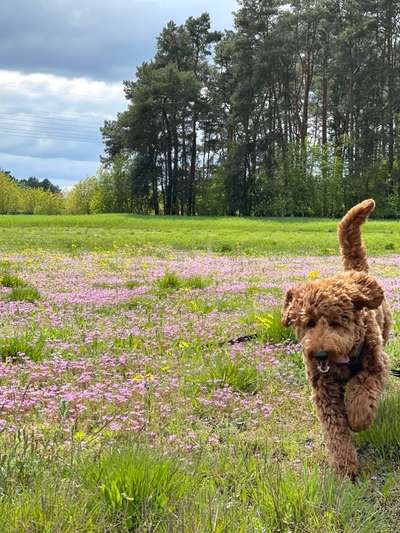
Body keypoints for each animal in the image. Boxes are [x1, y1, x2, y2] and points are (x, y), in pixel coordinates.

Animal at [282, 201, 392, 478]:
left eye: (335, 322)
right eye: (308, 323)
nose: (320, 353)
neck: (342, 361)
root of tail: (354, 272)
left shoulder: (375, 365)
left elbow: (361, 390)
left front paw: (359, 418)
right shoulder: (324, 391)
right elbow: (336, 432)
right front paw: (345, 467)